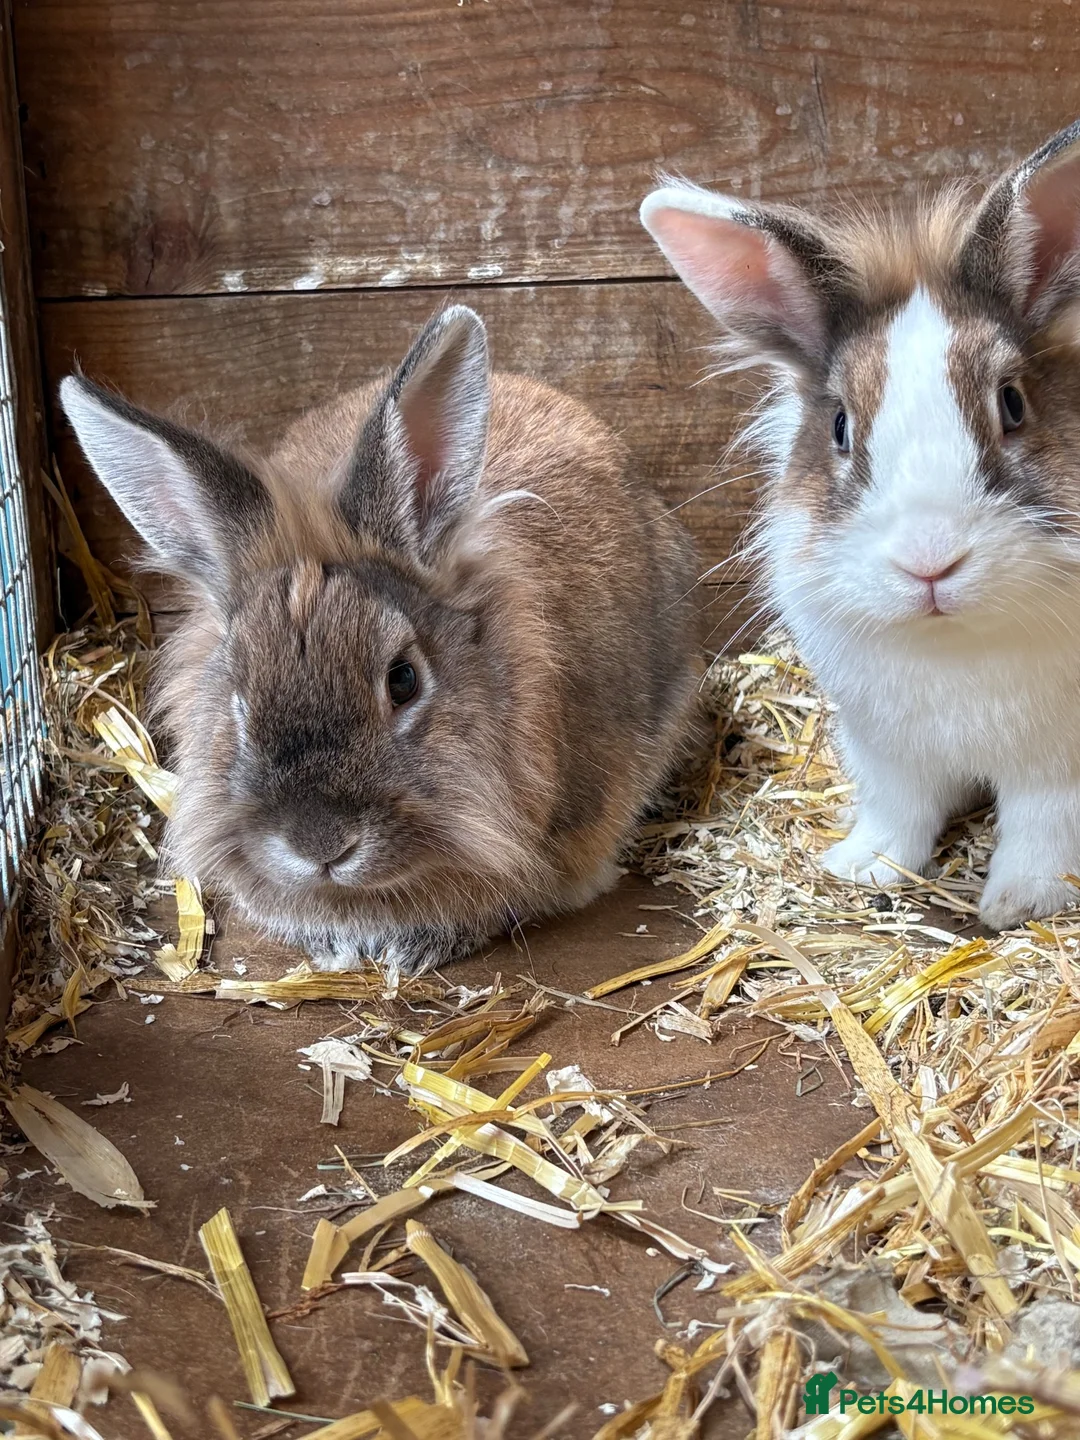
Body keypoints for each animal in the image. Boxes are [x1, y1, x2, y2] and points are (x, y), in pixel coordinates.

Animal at [640, 118, 1080, 931]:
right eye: (841, 426)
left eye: (1012, 403)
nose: (930, 560)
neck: (952, 643)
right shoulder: (886, 750)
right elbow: (898, 815)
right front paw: (862, 868)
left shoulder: (1057, 764)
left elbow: (1041, 827)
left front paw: (1020, 902)